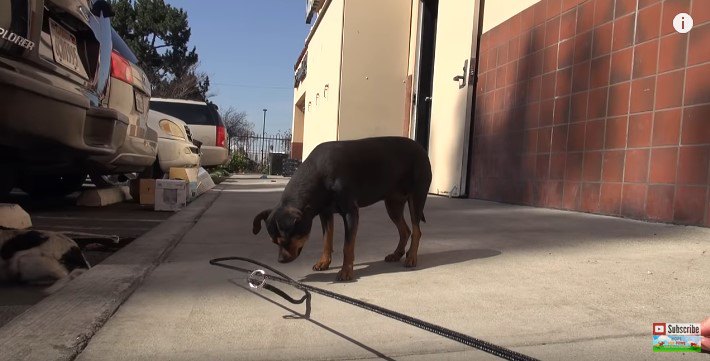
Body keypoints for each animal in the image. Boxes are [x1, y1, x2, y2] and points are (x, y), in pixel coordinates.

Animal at [256, 136, 434, 280]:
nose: (281, 260)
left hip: (416, 197)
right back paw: (397, 254)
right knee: (405, 230)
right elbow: (327, 240)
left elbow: (347, 247)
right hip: (393, 204)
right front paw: (323, 262)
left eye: (286, 240)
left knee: (416, 230)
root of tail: (421, 149)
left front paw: (346, 272)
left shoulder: (350, 213)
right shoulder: (325, 213)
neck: (318, 174)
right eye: (273, 241)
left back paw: (411, 258)